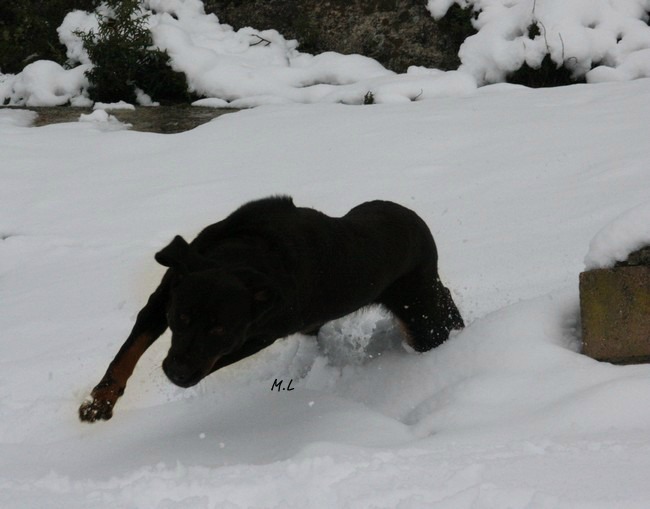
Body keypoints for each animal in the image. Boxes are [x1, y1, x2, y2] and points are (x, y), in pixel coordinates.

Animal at [79, 194, 460, 420]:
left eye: (221, 330)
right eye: (180, 318)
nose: (177, 373)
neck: (247, 255)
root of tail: (423, 231)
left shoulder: (256, 336)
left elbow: (212, 359)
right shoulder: (163, 297)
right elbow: (126, 355)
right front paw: (100, 401)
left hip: (421, 317)